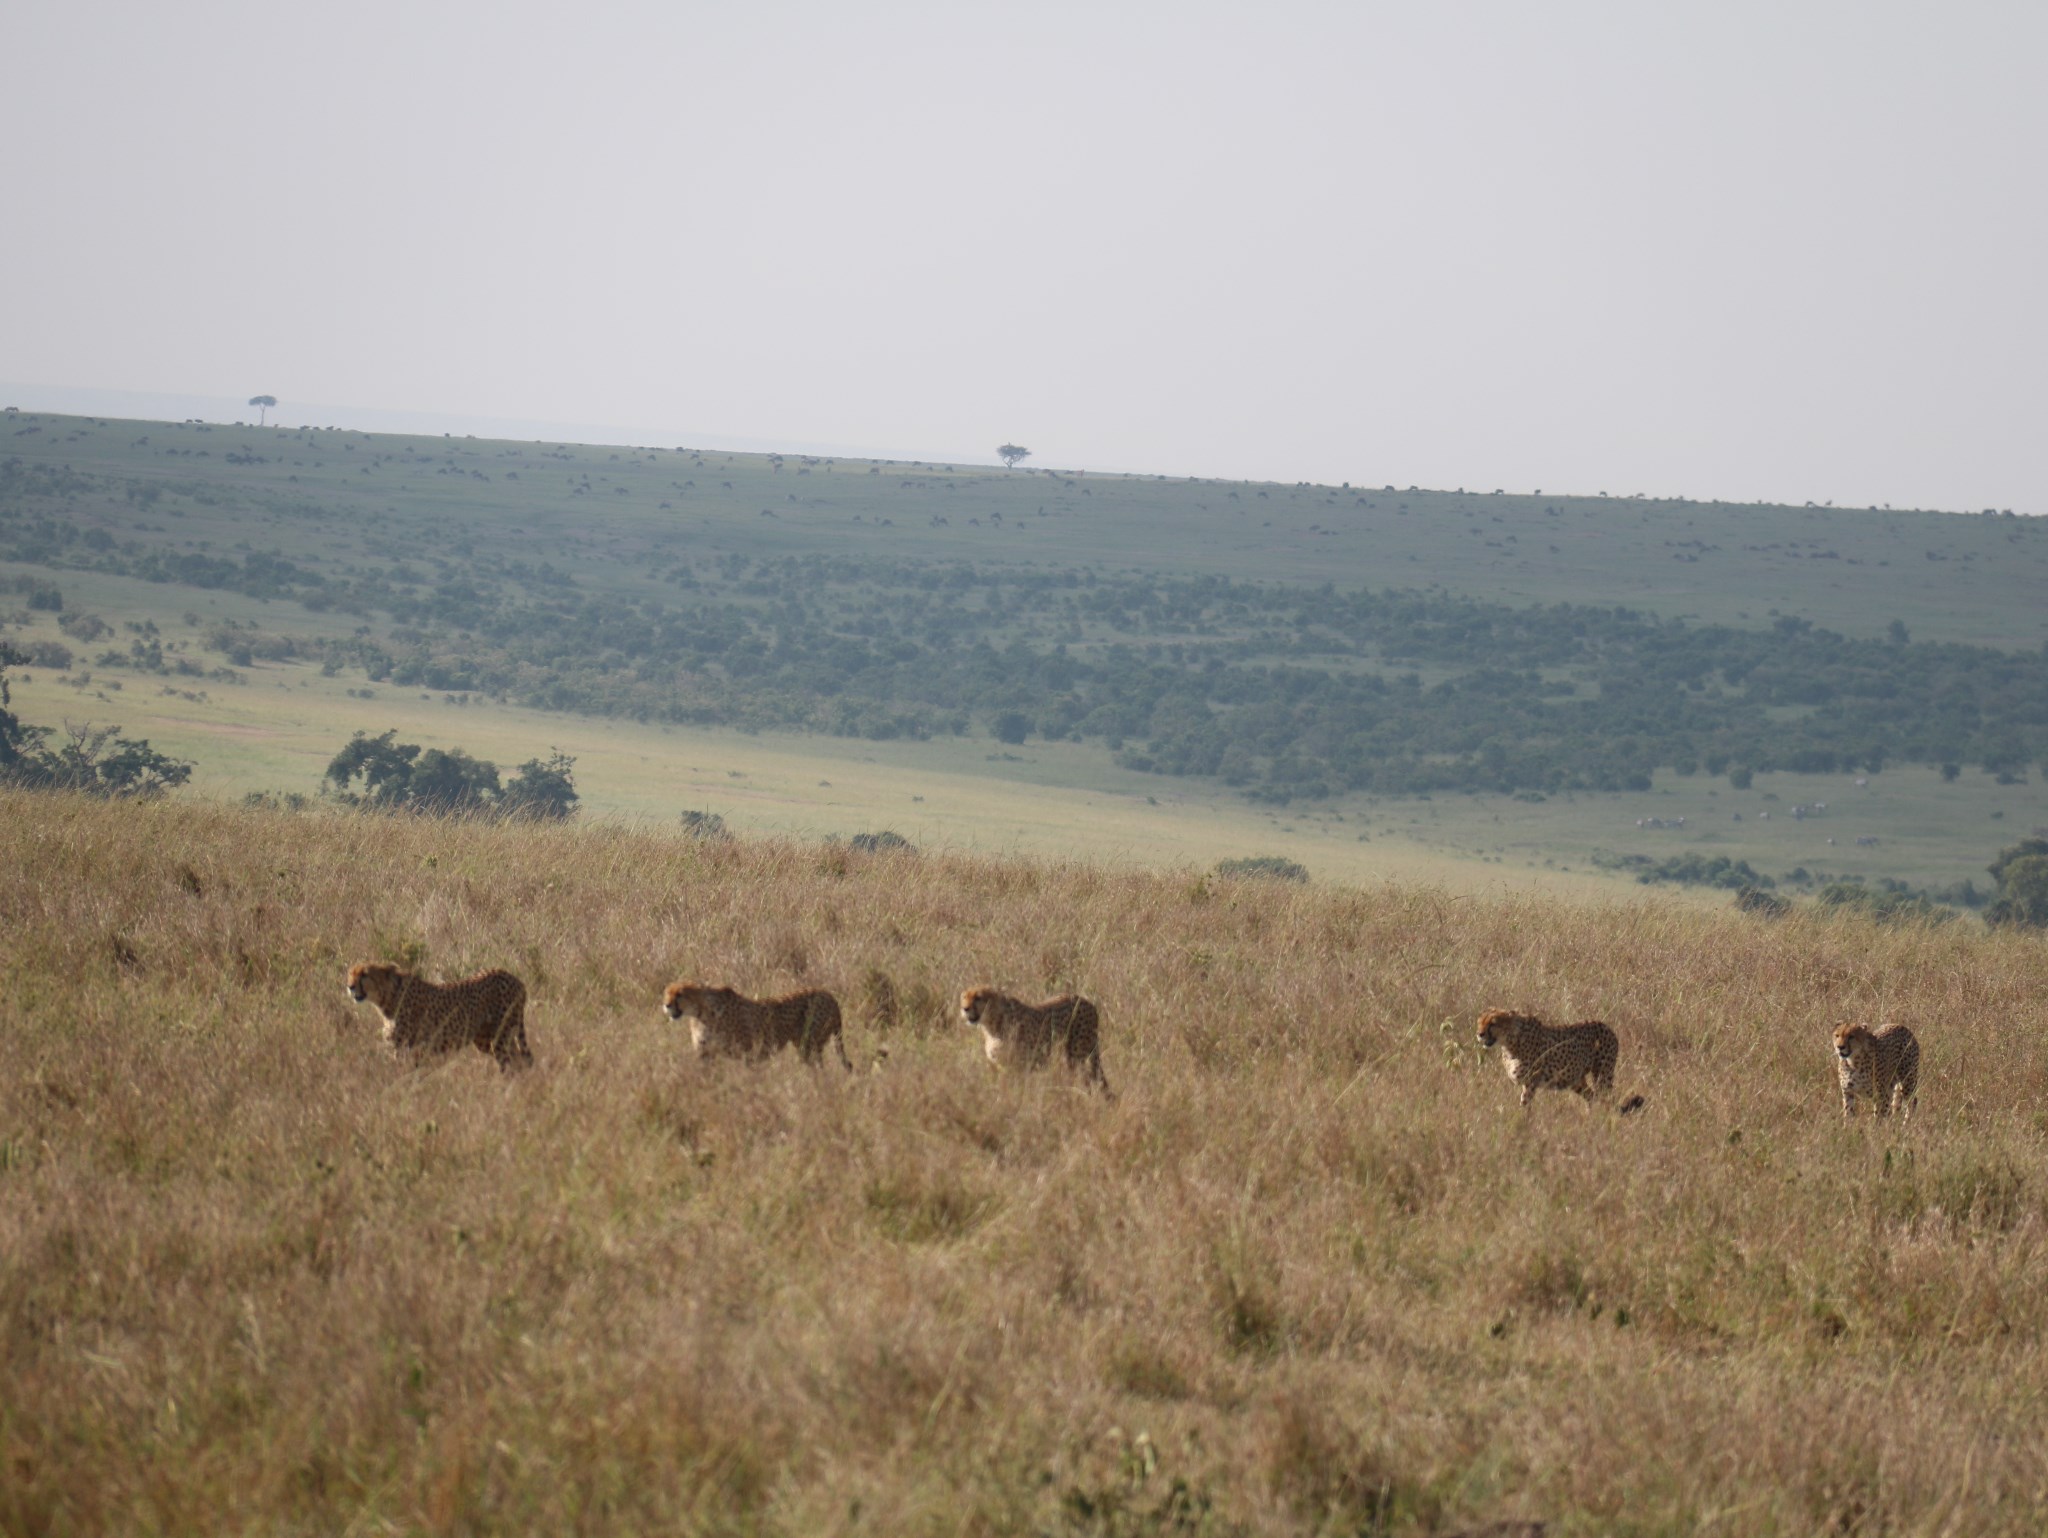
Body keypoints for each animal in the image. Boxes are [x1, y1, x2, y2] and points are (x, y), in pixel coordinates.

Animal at [346, 962, 532, 1073]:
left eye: (364, 974)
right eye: (350, 974)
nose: (350, 986)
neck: (388, 996)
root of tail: (514, 978)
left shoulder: (406, 1049)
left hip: (500, 1037)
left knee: (512, 1063)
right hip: (486, 1039)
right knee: (518, 1060)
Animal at [655, 987, 847, 1073]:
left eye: (679, 994)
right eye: (667, 993)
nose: (667, 1005)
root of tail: (828, 993)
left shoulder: (747, 1051)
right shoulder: (705, 1053)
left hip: (809, 1044)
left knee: (819, 1067)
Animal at [954, 987, 1114, 1097]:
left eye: (978, 997)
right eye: (964, 997)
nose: (965, 1008)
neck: (992, 1023)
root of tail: (1087, 1001)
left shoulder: (1022, 1066)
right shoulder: (1001, 1066)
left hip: (1077, 1055)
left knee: (1086, 1079)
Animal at [1474, 1003, 1646, 1114]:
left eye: (1493, 1023)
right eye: (1480, 1022)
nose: (1480, 1034)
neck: (1511, 1041)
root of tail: (1607, 1027)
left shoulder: (1531, 1082)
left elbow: (1525, 1104)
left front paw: (1523, 1122)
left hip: (1602, 1075)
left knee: (1605, 1098)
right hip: (1575, 1080)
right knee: (1592, 1097)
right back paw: (1589, 1117)